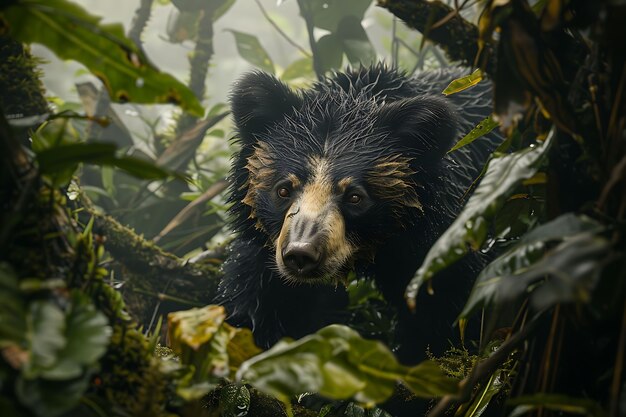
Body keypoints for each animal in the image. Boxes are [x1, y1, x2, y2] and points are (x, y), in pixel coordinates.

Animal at [217, 64, 500, 364]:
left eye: (355, 197)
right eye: (284, 190)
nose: (301, 254)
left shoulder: (434, 242)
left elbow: (447, 300)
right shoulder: (266, 256)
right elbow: (258, 303)